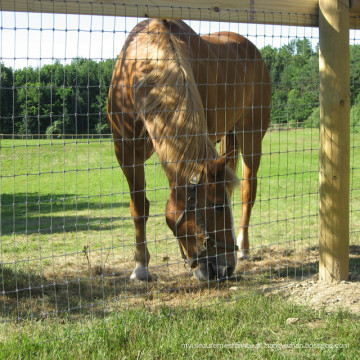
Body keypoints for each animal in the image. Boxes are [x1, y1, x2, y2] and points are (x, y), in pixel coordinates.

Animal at [107, 18, 270, 282]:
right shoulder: (126, 152)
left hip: (251, 136)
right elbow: (139, 207)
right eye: (218, 207)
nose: (225, 269)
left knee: (248, 191)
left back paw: (244, 247)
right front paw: (141, 267)